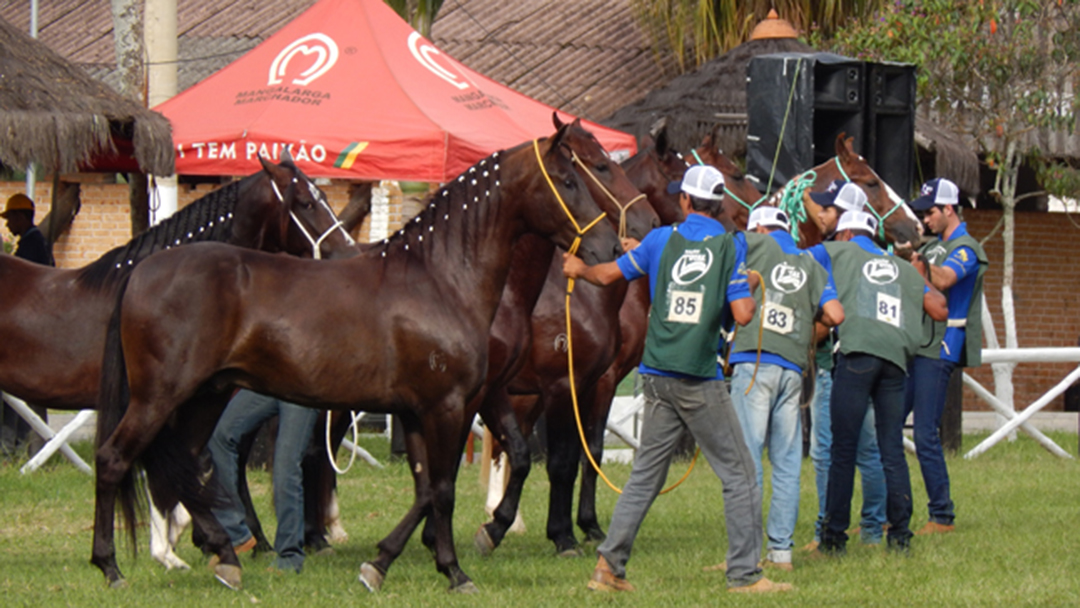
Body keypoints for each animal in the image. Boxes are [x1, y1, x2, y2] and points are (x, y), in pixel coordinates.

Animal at [91, 126, 623, 593]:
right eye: (570, 179)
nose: (611, 247)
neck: (440, 280)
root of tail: (141, 271)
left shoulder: (420, 412)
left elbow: (427, 489)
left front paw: (385, 563)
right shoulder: (448, 407)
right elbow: (443, 489)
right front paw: (454, 572)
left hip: (206, 396)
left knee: (181, 464)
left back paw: (224, 558)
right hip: (160, 397)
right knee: (116, 458)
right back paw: (112, 568)